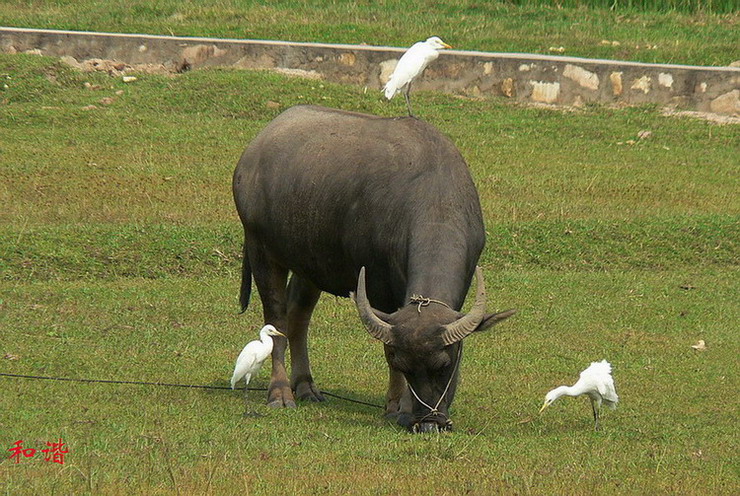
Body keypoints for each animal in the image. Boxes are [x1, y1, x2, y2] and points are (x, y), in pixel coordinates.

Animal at [233, 105, 516, 434]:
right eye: (403, 365)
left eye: (445, 365)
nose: (429, 423)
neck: (436, 200)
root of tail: (253, 151)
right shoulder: (381, 289)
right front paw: (398, 408)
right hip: (262, 250)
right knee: (276, 318)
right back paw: (280, 393)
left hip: (309, 264)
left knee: (298, 315)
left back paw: (305, 386)